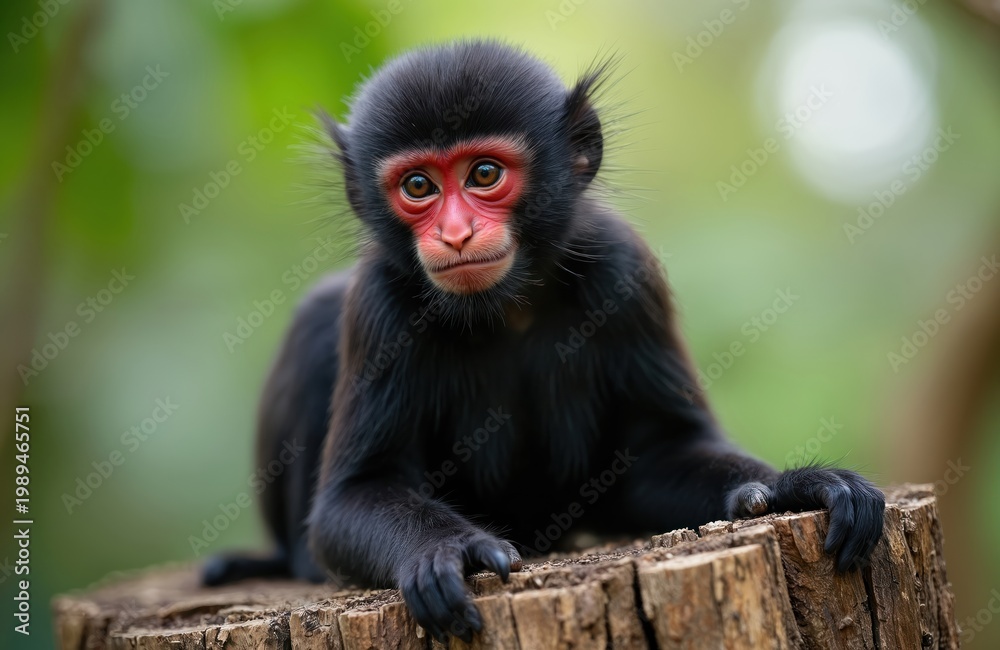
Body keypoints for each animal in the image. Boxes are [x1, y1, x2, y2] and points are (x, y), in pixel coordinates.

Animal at [203, 40, 886, 643]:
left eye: (483, 173)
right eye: (418, 187)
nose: (454, 234)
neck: (507, 309)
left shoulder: (625, 267)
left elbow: (659, 454)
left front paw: (798, 486)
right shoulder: (377, 302)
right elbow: (349, 498)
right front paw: (450, 549)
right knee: (317, 317)